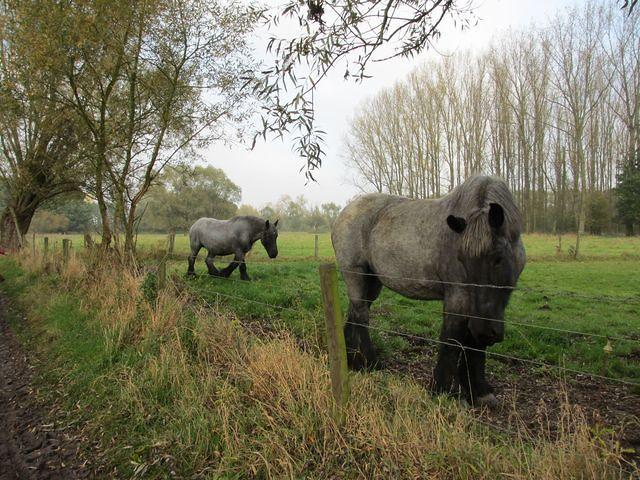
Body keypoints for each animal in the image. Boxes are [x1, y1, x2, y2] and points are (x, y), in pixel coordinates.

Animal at [330, 174, 524, 406]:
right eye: (462, 260)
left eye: (498, 258)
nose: (487, 332)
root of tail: (343, 214)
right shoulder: (459, 295)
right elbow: (452, 338)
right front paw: (442, 389)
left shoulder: (486, 307)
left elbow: (473, 342)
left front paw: (478, 391)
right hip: (355, 274)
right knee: (361, 316)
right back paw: (370, 363)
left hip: (372, 281)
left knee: (355, 312)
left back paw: (351, 360)